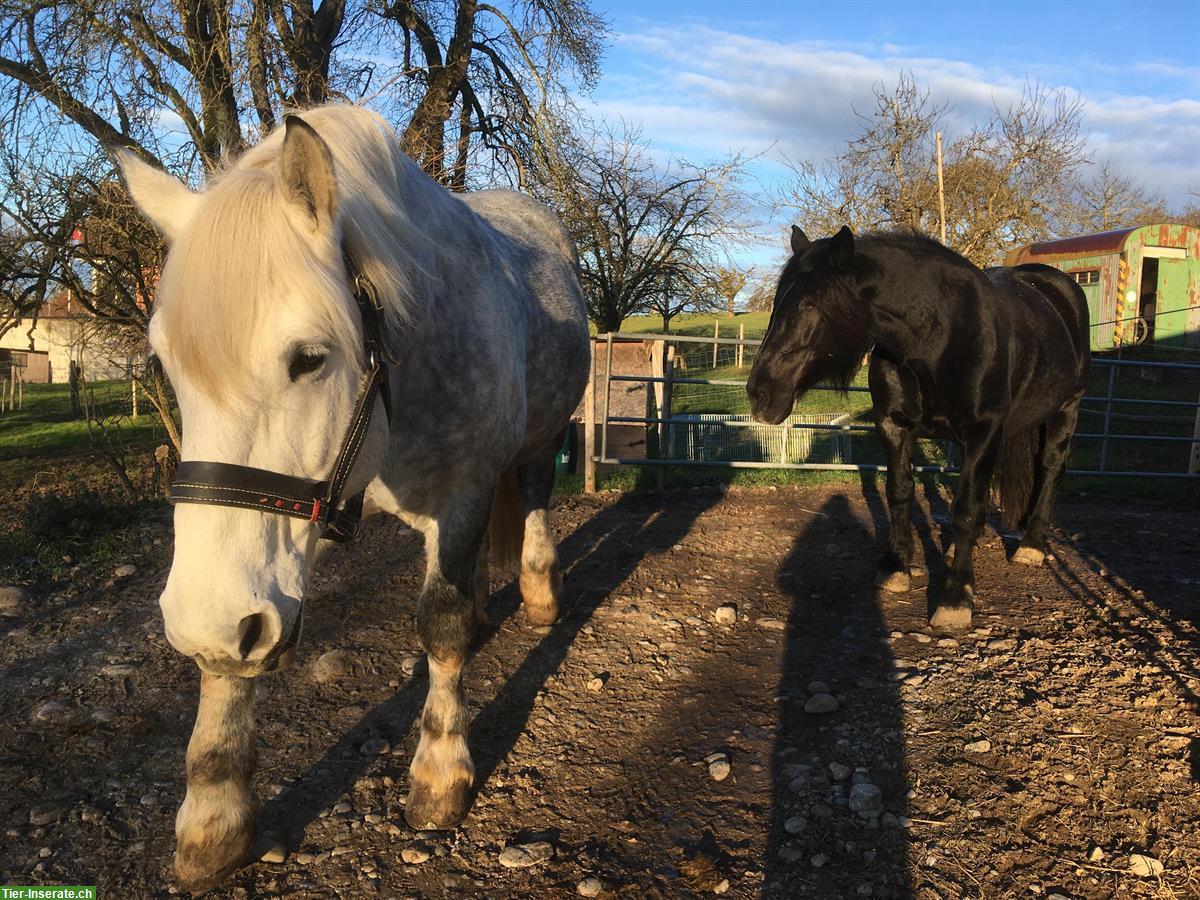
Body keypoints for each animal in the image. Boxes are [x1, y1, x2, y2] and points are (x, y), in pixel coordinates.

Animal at [119, 105, 588, 897]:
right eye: (166, 366)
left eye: (309, 359)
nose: (196, 621)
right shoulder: (283, 535)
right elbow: (229, 666)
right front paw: (214, 815)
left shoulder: (462, 495)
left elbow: (442, 625)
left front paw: (440, 773)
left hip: (538, 442)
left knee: (530, 502)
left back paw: (537, 589)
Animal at [748, 225, 1089, 628]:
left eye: (810, 305)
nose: (759, 393)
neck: (940, 338)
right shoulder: (893, 425)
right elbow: (900, 491)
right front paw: (896, 566)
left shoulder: (984, 431)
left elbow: (966, 508)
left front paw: (956, 598)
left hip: (1065, 410)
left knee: (1050, 470)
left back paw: (1032, 546)